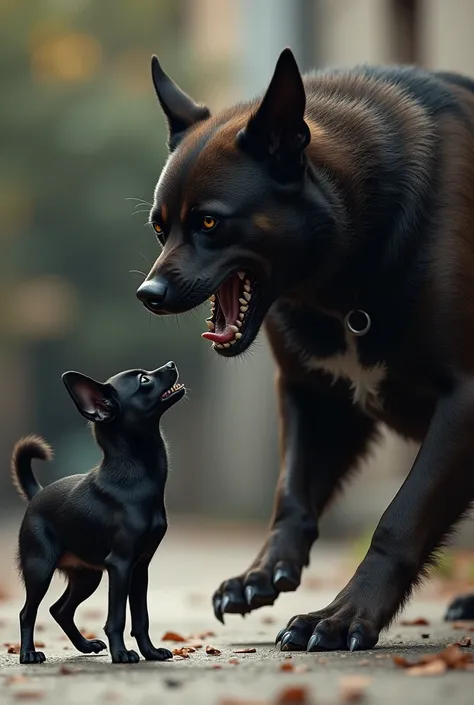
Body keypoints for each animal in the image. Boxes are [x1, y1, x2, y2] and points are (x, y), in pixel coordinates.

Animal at [136, 49, 474, 652]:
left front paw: (343, 615)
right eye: (159, 228)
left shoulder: (463, 401)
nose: (147, 296)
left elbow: (399, 520)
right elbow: (291, 495)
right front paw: (264, 572)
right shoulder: (313, 397)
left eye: (209, 222)